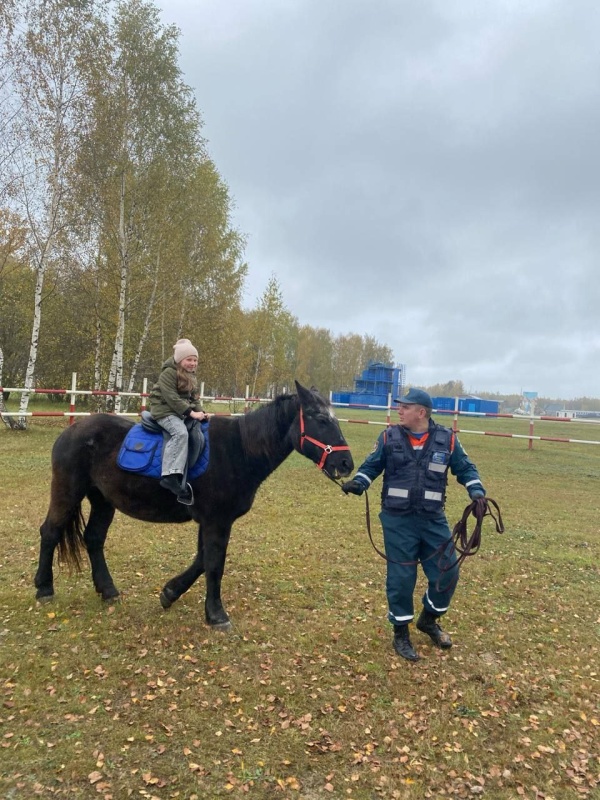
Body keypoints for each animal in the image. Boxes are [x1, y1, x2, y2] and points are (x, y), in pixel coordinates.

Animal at [35, 382, 354, 632]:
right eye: (319, 418)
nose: (346, 463)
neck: (240, 450)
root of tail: (71, 431)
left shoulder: (210, 521)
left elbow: (202, 559)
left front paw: (170, 592)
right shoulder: (217, 521)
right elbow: (214, 564)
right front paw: (216, 615)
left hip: (103, 500)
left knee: (93, 539)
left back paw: (108, 590)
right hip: (68, 491)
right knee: (50, 531)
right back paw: (44, 588)